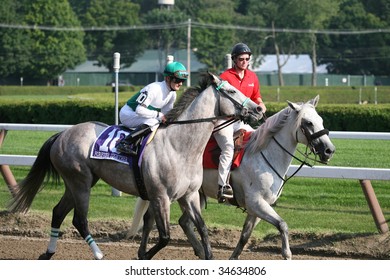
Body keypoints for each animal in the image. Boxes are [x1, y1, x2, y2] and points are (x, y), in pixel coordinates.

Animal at [9, 72, 264, 260]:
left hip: (79, 182)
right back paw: (99, 255)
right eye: (231, 91)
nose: (259, 109)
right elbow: (164, 237)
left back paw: (48, 253)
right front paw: (143, 255)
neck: (180, 146)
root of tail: (61, 134)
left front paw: (207, 255)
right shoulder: (160, 196)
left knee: (58, 212)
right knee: (79, 220)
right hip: (79, 181)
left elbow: (201, 229)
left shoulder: (189, 195)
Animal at [128, 94, 336, 260]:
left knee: (183, 222)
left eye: (320, 119)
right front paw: (287, 253)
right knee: (152, 219)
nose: (329, 150)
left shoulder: (257, 208)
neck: (264, 153)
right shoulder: (256, 203)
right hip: (168, 196)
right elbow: (282, 224)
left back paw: (200, 251)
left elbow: (245, 236)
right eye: (308, 123)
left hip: (192, 196)